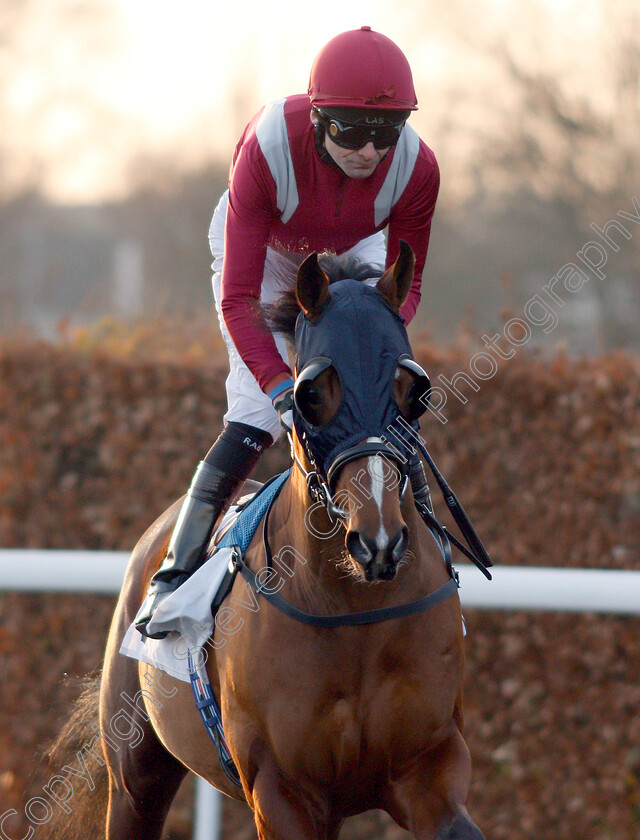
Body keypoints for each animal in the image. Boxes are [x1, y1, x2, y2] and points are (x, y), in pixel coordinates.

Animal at [46, 243, 484, 840]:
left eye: (413, 391)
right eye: (311, 393)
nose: (378, 541)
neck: (355, 610)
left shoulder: (430, 763)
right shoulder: (283, 790)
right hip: (136, 772)